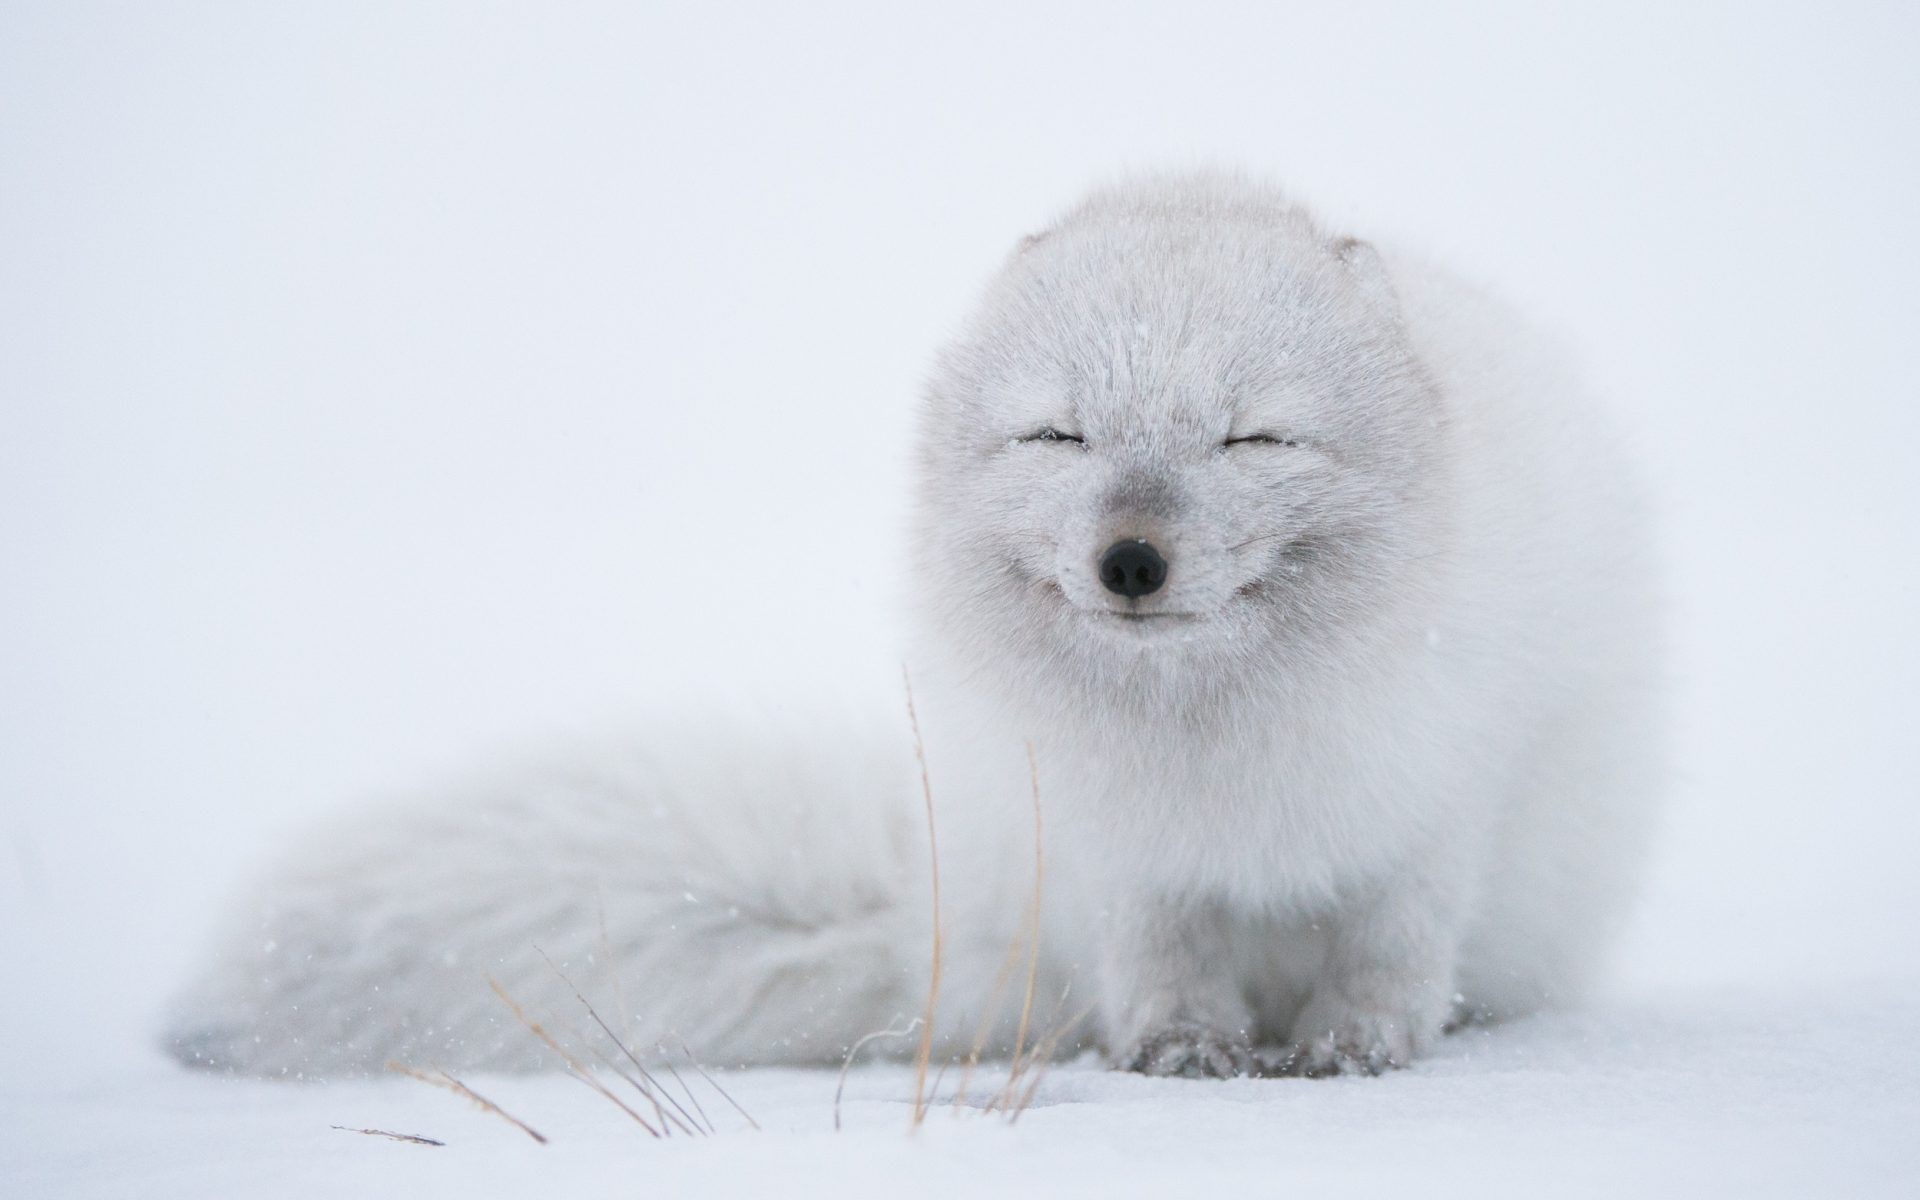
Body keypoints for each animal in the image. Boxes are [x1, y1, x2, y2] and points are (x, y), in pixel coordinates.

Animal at [166, 172, 1660, 1080]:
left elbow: (1392, 950)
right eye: (1059, 435)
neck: (1210, 745)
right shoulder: (1116, 852)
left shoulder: (1436, 802)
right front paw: (1181, 1055)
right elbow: (1163, 963)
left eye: (1255, 436)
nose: (1131, 559)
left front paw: (1357, 1050)